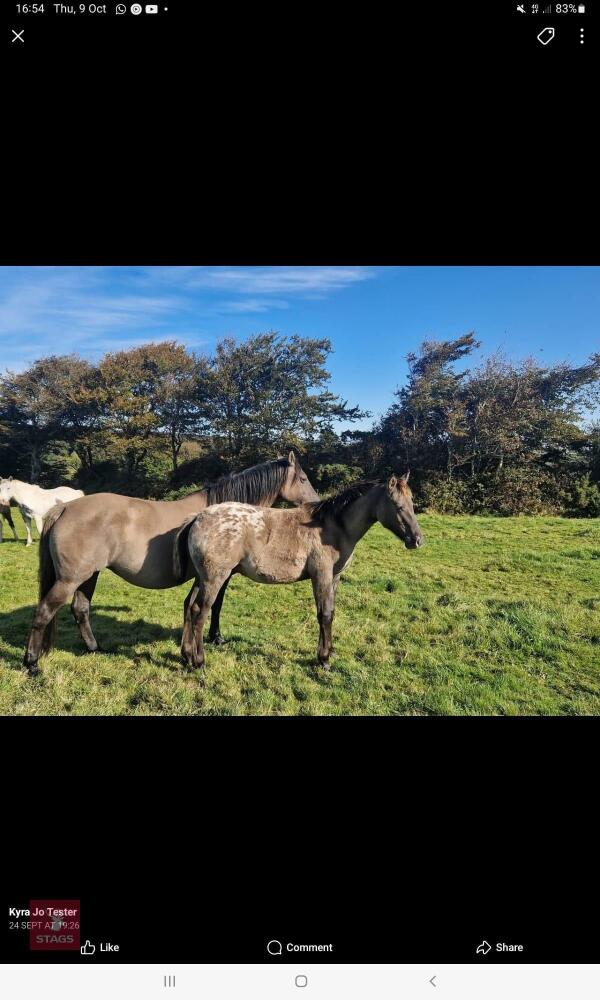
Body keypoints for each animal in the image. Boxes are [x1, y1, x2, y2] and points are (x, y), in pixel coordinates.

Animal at [23, 453, 319, 675]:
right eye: (303, 478)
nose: (315, 504)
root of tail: (64, 508)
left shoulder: (202, 578)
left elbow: (190, 607)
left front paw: (190, 652)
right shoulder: (219, 577)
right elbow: (213, 606)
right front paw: (214, 639)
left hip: (89, 575)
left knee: (80, 609)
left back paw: (95, 649)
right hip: (70, 579)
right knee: (44, 612)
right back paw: (31, 664)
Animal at [177, 473, 423, 674]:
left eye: (412, 503)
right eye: (397, 505)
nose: (417, 540)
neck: (332, 527)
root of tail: (198, 518)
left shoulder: (334, 578)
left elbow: (331, 612)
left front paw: (330, 651)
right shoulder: (321, 576)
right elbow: (324, 615)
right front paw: (323, 659)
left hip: (202, 578)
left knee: (190, 606)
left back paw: (186, 655)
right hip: (214, 578)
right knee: (200, 611)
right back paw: (199, 662)